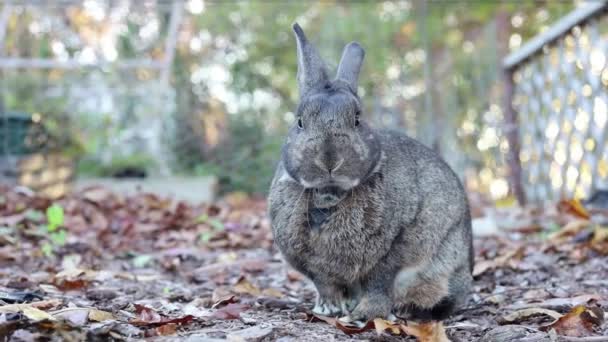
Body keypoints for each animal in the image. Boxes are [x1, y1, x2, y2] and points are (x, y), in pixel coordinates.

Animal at [268, 24, 472, 324]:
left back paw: (409, 309)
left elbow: (379, 282)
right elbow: (325, 285)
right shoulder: (313, 266)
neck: (330, 196)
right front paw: (328, 310)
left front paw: (363, 314)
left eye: (357, 119)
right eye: (300, 121)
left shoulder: (395, 245)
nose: (329, 160)